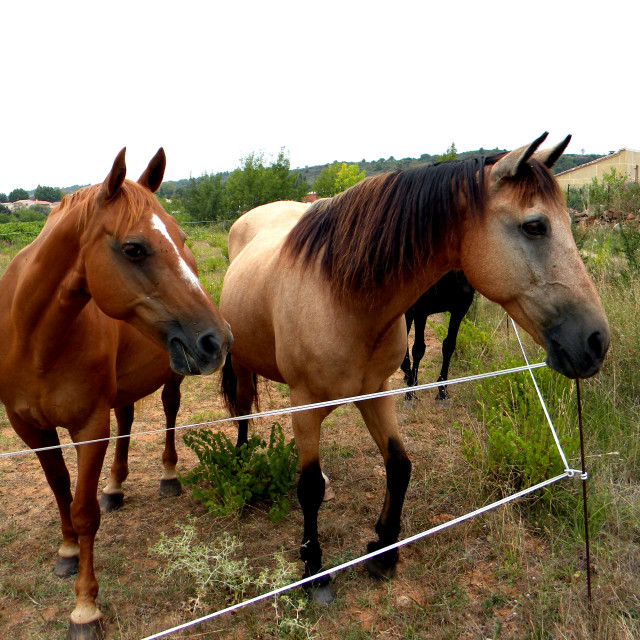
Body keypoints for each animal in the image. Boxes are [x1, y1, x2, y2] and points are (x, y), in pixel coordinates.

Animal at [0, 148, 234, 636]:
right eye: (133, 248)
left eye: (180, 237)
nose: (218, 341)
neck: (34, 339)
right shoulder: (28, 427)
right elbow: (59, 489)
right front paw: (67, 551)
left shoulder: (89, 426)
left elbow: (84, 511)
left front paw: (85, 608)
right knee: (126, 420)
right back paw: (115, 485)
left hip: (173, 375)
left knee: (168, 412)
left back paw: (167, 476)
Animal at [400, 268, 476, 400]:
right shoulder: (420, 310)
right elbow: (418, 349)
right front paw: (410, 392)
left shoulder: (460, 308)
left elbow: (448, 346)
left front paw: (442, 390)